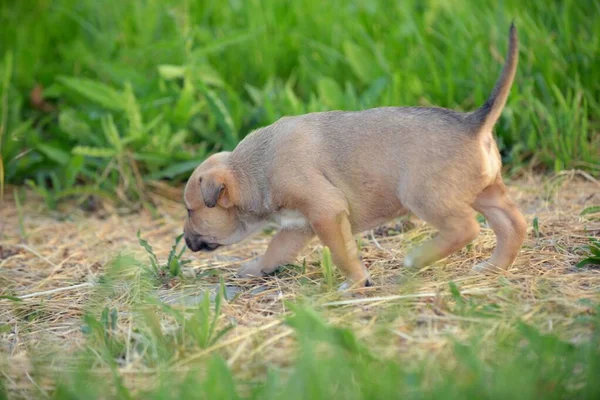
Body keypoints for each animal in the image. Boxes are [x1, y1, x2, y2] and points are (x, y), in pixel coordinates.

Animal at [183, 24, 524, 288]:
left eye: (189, 210)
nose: (185, 241)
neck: (252, 170)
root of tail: (474, 123)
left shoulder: (326, 214)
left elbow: (342, 253)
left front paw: (355, 282)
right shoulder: (299, 225)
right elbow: (275, 249)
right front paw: (256, 268)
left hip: (425, 197)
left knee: (466, 228)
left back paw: (417, 259)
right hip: (486, 193)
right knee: (513, 225)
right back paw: (494, 267)